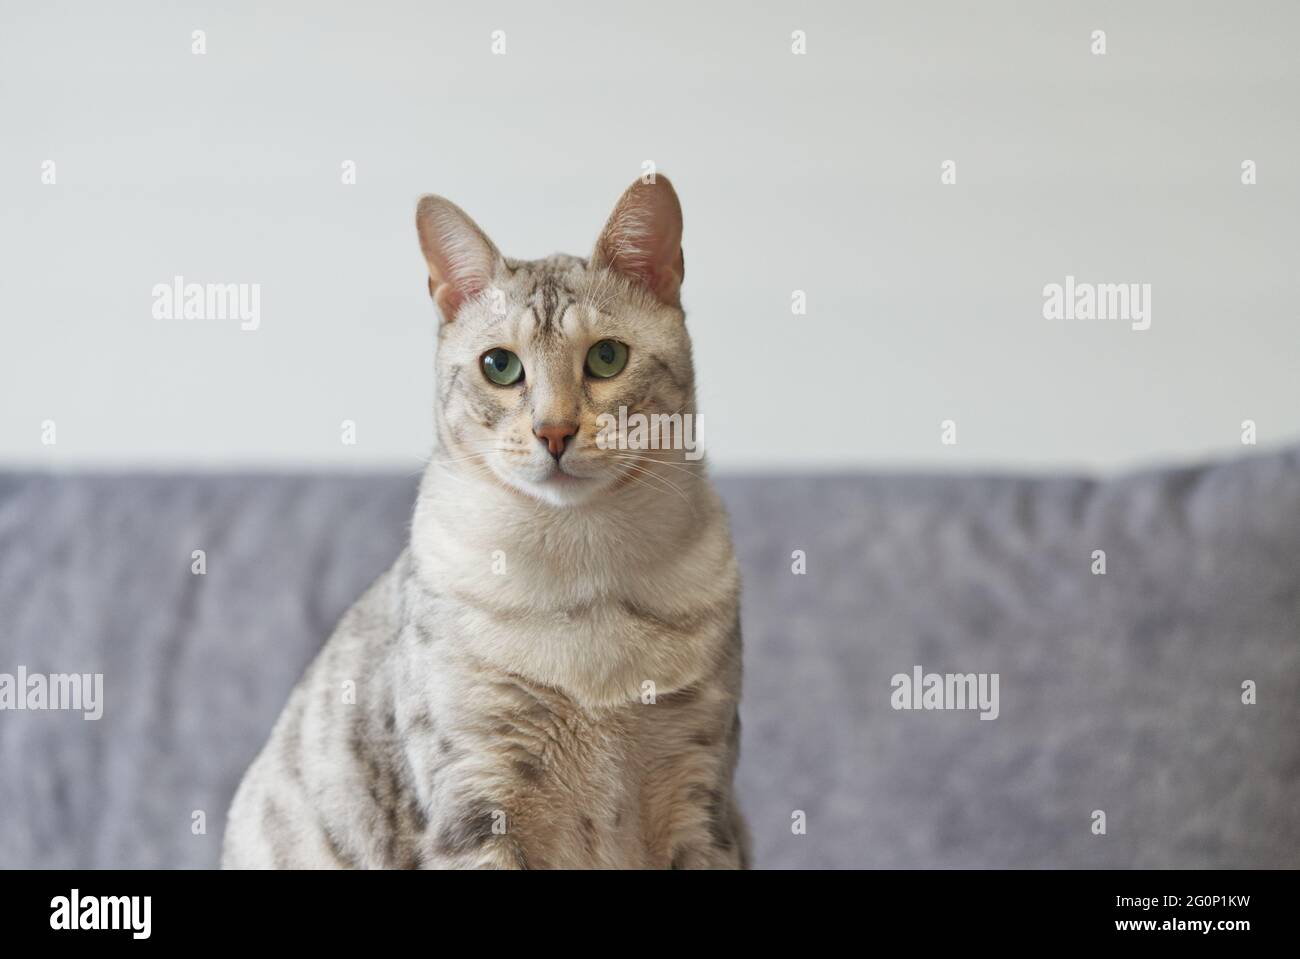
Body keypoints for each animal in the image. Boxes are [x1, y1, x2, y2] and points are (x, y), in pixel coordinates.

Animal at [220, 174, 754, 868]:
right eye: (500, 367)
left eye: (607, 358)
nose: (553, 432)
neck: (584, 573)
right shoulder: (476, 804)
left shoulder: (701, 797)